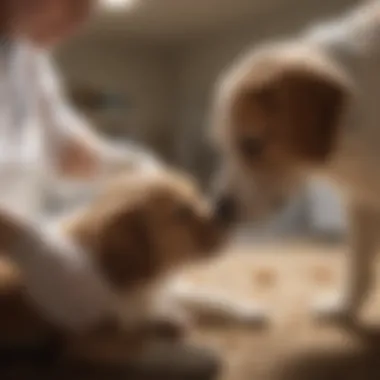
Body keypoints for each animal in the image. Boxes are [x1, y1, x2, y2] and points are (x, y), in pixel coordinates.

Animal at [0, 168, 223, 362]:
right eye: (182, 213)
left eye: (198, 197)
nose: (226, 224)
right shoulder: (87, 340)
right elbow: (145, 342)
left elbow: (202, 299)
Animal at [211, 1, 380, 326]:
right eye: (221, 145)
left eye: (252, 144)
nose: (219, 210)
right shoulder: (361, 200)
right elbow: (358, 267)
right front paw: (343, 309)